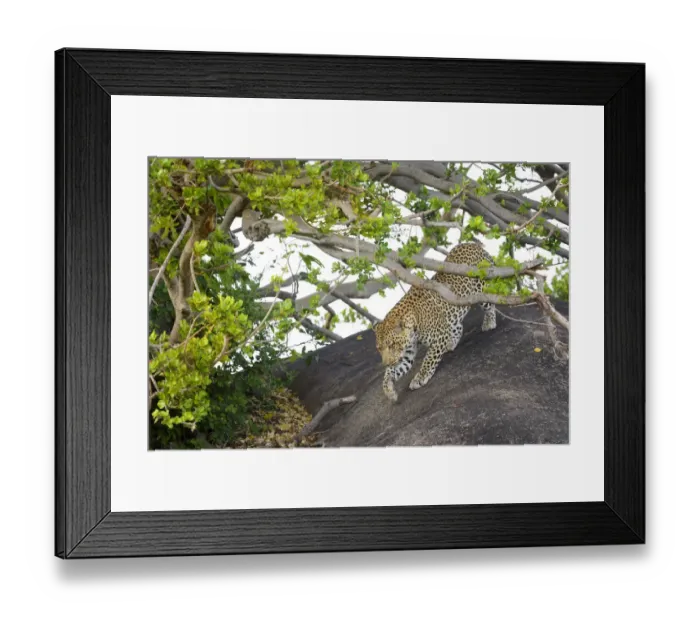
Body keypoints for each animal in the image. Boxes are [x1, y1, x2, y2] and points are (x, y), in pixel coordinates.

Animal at [373, 242, 497, 403]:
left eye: (392, 344)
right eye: (379, 348)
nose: (386, 362)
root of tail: (473, 244)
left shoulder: (439, 337)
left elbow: (428, 359)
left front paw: (420, 378)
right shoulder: (407, 354)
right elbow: (390, 372)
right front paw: (389, 389)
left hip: (480, 289)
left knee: (491, 304)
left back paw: (490, 322)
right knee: (457, 325)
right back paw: (452, 342)